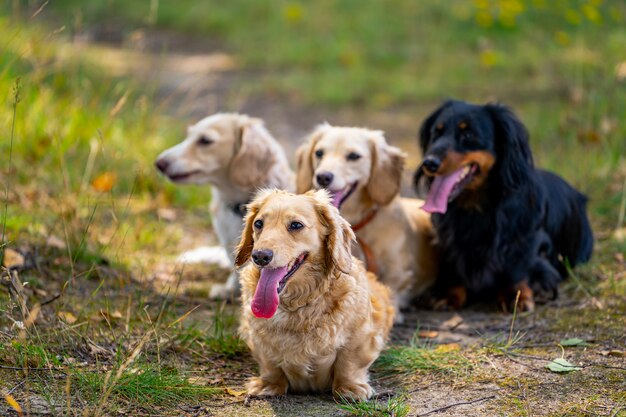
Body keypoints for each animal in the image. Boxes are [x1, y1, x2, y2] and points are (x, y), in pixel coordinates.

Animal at [414, 99, 588, 310]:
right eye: (436, 133)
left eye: (468, 135)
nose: (428, 163)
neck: (475, 207)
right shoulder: (449, 239)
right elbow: (452, 261)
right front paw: (448, 293)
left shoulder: (525, 237)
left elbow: (517, 264)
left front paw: (516, 294)